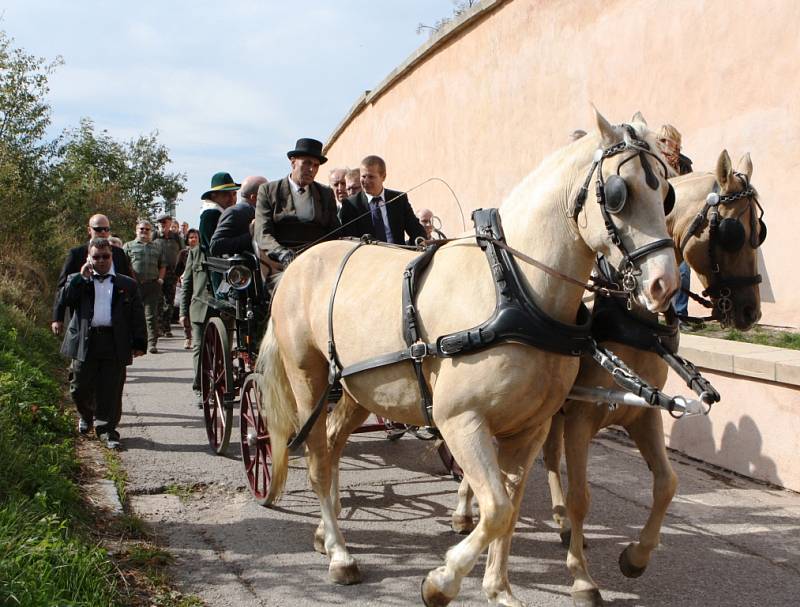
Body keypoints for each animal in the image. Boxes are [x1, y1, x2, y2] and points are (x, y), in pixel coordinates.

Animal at [255, 111, 676, 604]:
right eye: (618, 193)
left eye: (666, 193)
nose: (664, 284)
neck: (514, 288)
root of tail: (297, 263)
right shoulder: (460, 419)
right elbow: (495, 508)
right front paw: (443, 580)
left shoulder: (530, 428)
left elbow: (510, 505)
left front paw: (498, 589)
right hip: (309, 377)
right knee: (319, 461)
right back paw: (340, 555)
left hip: (359, 388)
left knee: (335, 444)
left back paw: (327, 533)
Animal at [446, 150, 764, 604]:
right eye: (734, 232)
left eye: (761, 233)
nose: (750, 310)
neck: (630, 317)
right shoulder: (582, 415)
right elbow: (582, 496)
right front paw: (582, 578)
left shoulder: (642, 413)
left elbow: (667, 483)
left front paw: (635, 557)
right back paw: (464, 511)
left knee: (545, 460)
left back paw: (558, 522)